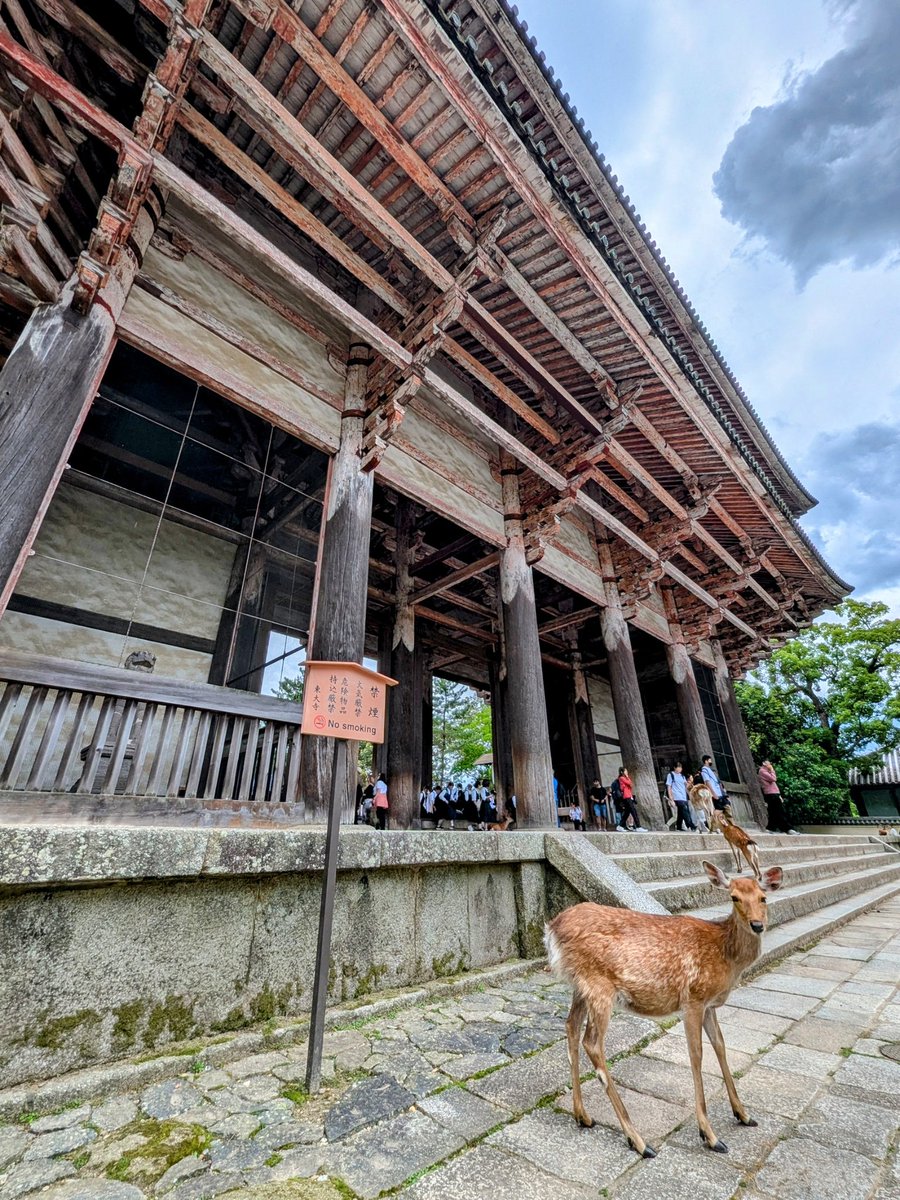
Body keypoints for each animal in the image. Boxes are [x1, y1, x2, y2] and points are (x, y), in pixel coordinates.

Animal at [545, 860, 783, 1157]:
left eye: (763, 898)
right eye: (734, 897)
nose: (757, 924)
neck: (726, 959)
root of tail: (551, 930)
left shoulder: (710, 1005)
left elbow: (720, 1045)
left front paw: (743, 1114)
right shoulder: (693, 999)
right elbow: (696, 1054)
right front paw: (710, 1135)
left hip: (580, 986)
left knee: (570, 1026)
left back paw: (583, 1116)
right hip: (598, 986)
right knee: (592, 1042)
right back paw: (638, 1141)